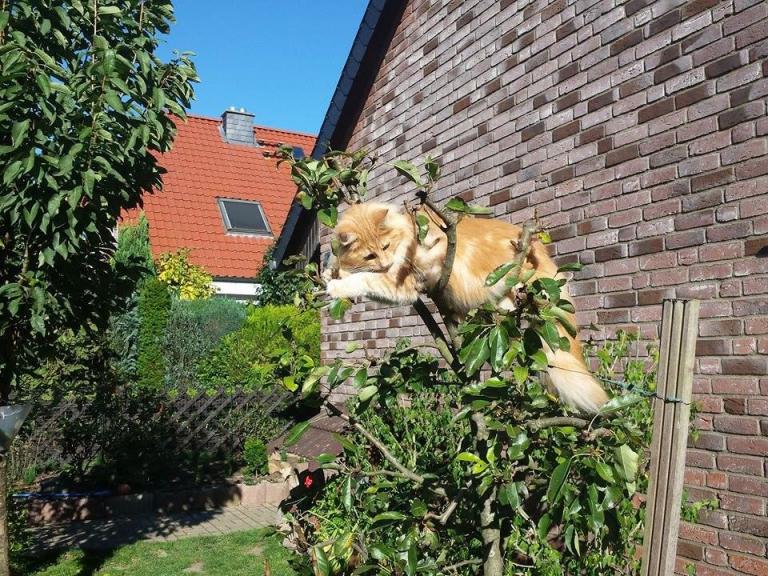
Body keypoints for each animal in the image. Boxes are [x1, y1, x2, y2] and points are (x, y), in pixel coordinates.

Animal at [324, 202, 608, 413]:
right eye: (370, 255)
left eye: (385, 247)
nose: (384, 262)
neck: (407, 232)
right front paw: (331, 272)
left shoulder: (400, 283)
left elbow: (363, 280)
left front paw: (336, 285)